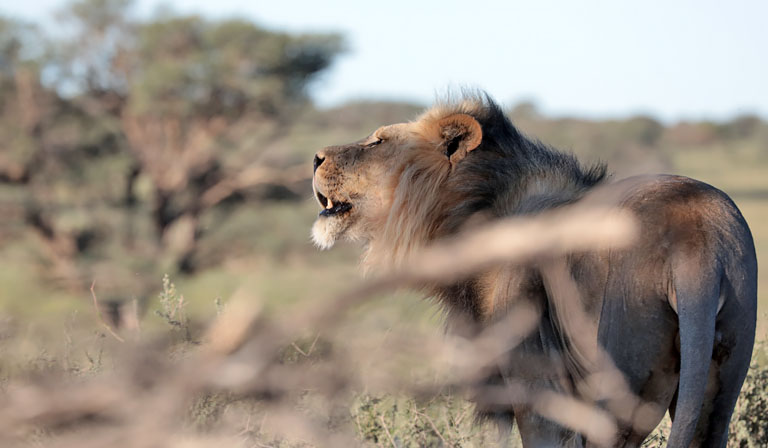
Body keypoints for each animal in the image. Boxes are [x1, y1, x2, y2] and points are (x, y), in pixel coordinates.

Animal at [310, 93, 757, 447]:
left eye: (378, 141)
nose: (314, 157)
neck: (473, 210)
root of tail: (695, 238)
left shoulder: (537, 388)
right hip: (721, 376)